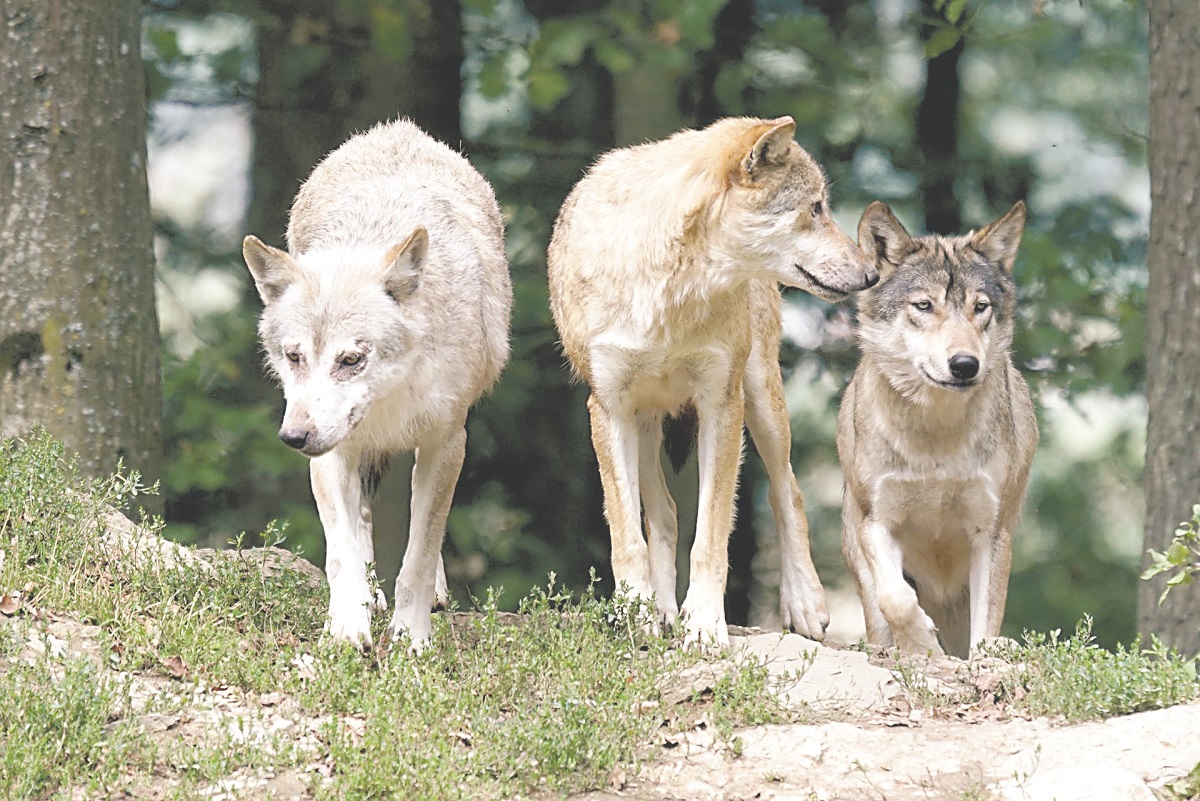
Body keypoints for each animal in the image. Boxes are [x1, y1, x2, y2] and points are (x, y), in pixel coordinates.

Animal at [241, 118, 508, 652]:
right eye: (295, 357)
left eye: (351, 360)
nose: (293, 437)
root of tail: (394, 128)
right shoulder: (331, 451)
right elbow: (342, 552)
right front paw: (348, 627)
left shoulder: (448, 442)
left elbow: (420, 554)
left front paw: (411, 637)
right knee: (361, 521)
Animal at [549, 115, 878, 647]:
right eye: (815, 208)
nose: (872, 274)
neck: (669, 291)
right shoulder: (607, 408)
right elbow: (627, 536)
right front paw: (637, 615)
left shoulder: (721, 403)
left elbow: (711, 535)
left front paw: (703, 624)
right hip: (643, 422)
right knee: (663, 512)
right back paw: (661, 612)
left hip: (762, 401)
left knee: (787, 490)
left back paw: (804, 604)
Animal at [840, 200, 1036, 657]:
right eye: (924, 306)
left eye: (980, 307)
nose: (965, 365)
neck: (935, 438)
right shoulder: (876, 520)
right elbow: (895, 599)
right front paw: (922, 645)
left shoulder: (991, 533)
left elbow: (986, 629)